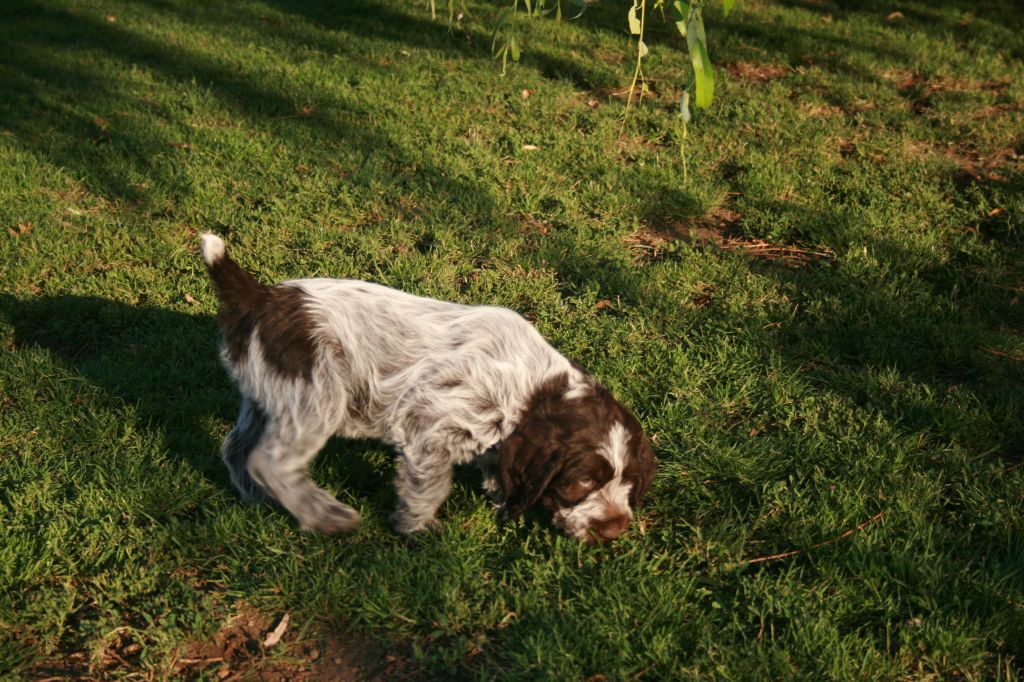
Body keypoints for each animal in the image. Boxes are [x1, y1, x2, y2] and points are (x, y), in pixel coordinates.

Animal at [200, 233, 655, 542]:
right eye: (582, 482)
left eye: (630, 481)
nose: (614, 530)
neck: (533, 387)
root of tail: (258, 297)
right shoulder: (431, 425)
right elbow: (430, 484)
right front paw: (417, 527)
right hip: (316, 396)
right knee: (271, 461)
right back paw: (326, 516)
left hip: (267, 396)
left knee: (237, 449)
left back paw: (258, 499)